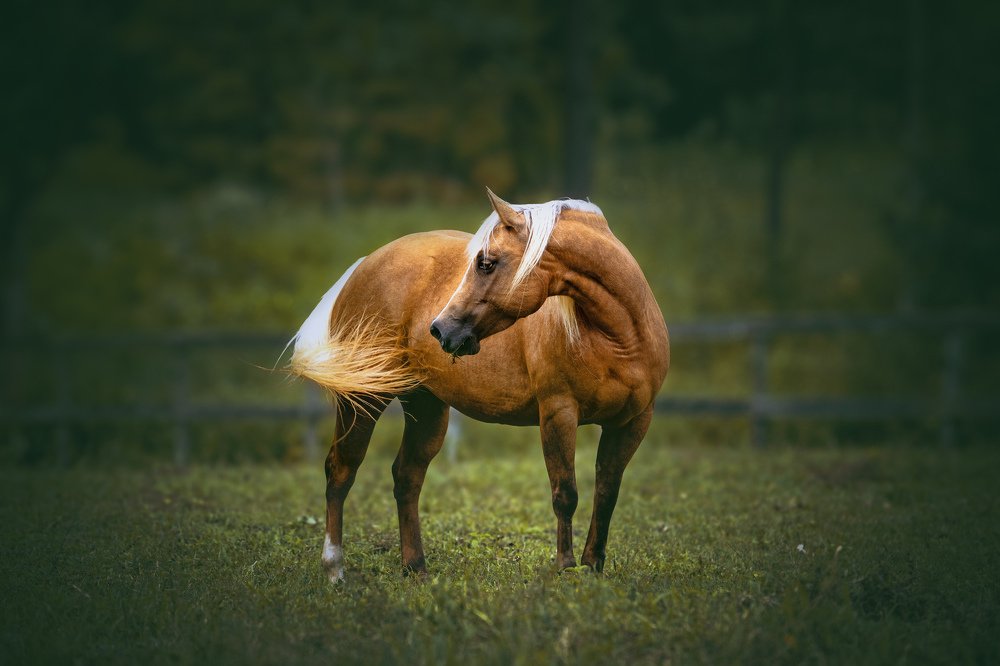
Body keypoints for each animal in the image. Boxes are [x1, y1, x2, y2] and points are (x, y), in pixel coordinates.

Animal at [289, 189, 669, 582]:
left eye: (486, 263)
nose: (440, 329)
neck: (618, 340)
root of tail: (364, 265)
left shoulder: (633, 422)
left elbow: (606, 493)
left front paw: (593, 568)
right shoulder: (558, 413)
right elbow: (565, 494)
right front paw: (565, 570)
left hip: (425, 404)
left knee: (407, 476)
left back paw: (416, 569)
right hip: (364, 398)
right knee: (341, 470)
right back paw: (335, 570)